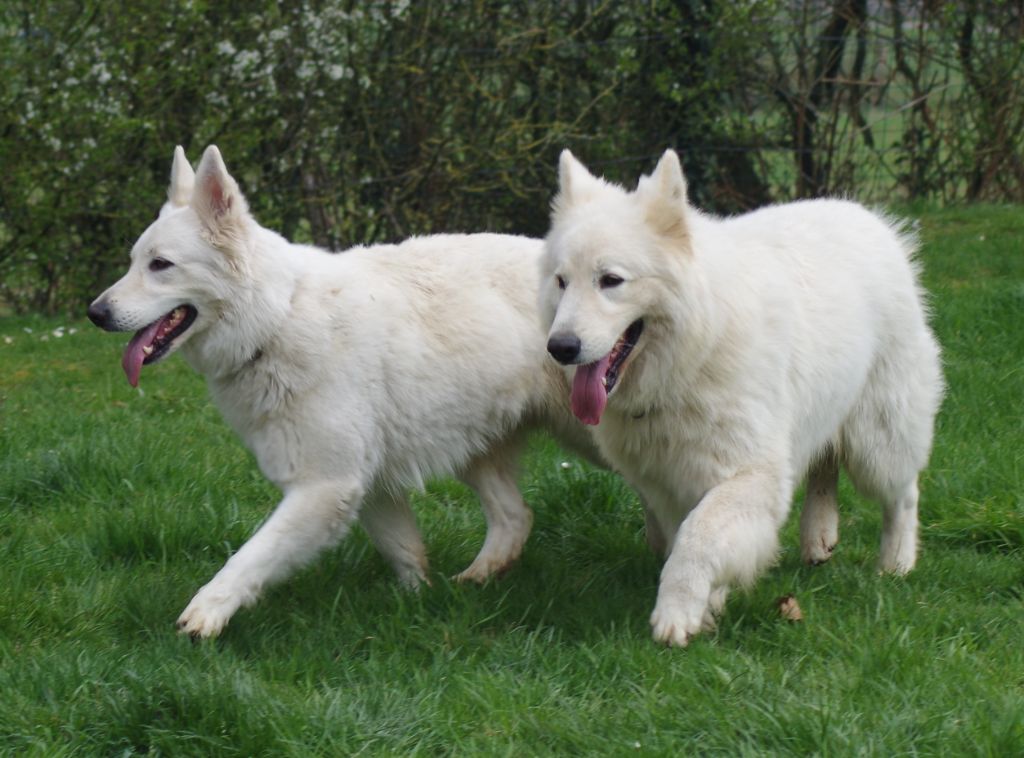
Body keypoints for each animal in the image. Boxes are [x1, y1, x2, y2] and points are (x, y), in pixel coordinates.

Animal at [91, 145, 598, 635]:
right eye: (134, 262)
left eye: (160, 265)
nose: (95, 313)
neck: (277, 318)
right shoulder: (369, 486)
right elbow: (404, 550)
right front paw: (418, 605)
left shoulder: (324, 487)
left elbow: (251, 555)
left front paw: (206, 612)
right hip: (475, 449)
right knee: (515, 517)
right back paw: (477, 578)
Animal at [544, 150, 942, 647]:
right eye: (561, 281)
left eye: (611, 280)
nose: (559, 347)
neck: (693, 355)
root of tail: (873, 222)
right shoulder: (670, 485)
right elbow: (691, 537)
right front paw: (707, 607)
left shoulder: (750, 476)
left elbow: (698, 540)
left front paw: (677, 613)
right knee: (824, 466)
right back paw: (819, 536)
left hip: (877, 442)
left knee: (903, 495)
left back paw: (896, 564)